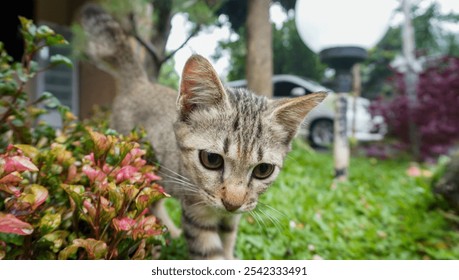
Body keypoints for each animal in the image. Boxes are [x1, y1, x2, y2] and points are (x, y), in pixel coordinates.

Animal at [82, 3, 328, 260]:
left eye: (263, 170)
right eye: (211, 159)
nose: (232, 203)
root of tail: (141, 83)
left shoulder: (230, 219)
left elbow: (228, 240)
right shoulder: (197, 212)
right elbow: (211, 252)